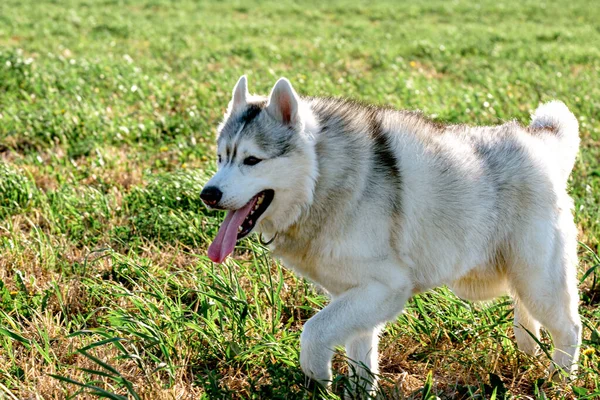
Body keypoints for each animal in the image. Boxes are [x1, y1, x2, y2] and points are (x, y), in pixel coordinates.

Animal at [202, 76, 580, 396]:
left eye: (252, 160)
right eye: (221, 158)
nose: (208, 194)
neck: (321, 179)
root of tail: (540, 142)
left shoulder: (387, 287)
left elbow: (313, 331)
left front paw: (317, 376)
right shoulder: (357, 295)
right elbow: (359, 357)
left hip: (539, 280)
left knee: (570, 329)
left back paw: (558, 381)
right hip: (521, 277)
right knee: (527, 315)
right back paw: (529, 352)